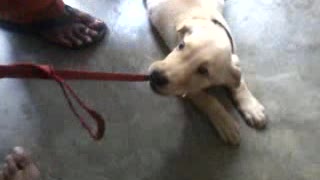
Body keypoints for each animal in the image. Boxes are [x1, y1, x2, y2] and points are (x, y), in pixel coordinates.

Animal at [146, 0, 266, 144]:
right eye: (181, 45)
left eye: (203, 71)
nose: (155, 77)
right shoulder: (187, 90)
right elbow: (208, 100)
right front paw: (225, 122)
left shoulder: (234, 60)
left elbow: (239, 82)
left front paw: (251, 107)